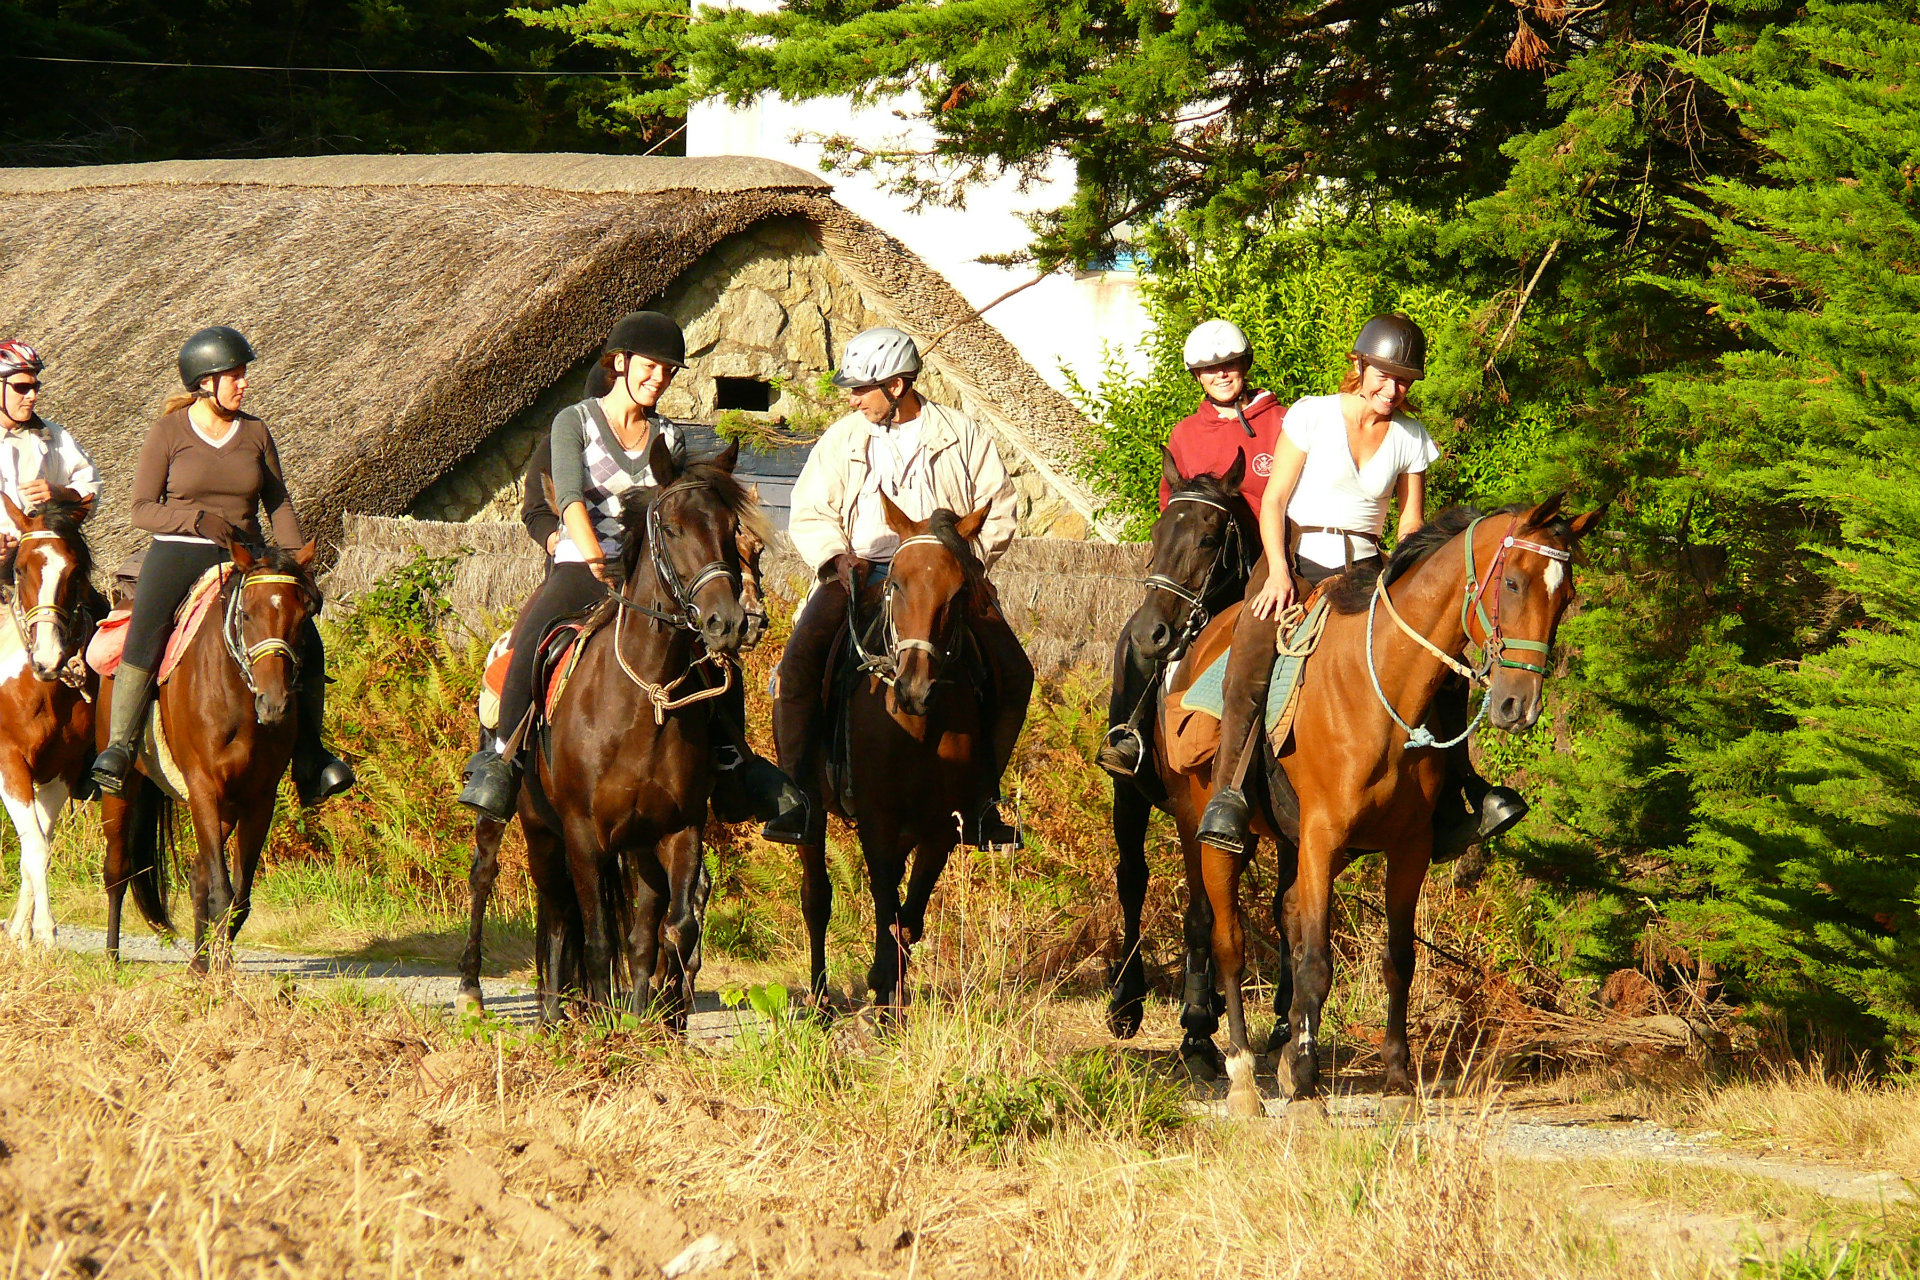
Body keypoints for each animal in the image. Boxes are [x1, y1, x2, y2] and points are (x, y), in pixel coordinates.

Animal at [105, 541, 322, 971]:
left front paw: (214, 965)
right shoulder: (203, 789)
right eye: (246, 613)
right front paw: (217, 975)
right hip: (122, 789)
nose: (275, 704)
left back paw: (198, 960)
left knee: (197, 875)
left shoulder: (258, 799)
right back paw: (112, 957)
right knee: (117, 871)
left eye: (303, 614)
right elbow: (223, 892)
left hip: (226, 807)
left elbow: (238, 897)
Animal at [794, 498, 1013, 1020]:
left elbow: (909, 914)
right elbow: (883, 901)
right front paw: (882, 992)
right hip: (813, 814)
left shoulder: (939, 829)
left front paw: (889, 988)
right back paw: (819, 998)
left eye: (959, 592)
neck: (917, 729)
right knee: (817, 898)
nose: (915, 689)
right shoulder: (878, 819)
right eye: (895, 582)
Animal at [1152, 495, 1605, 1113]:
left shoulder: (1407, 848)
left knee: (1286, 916)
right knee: (1229, 942)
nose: (1520, 705)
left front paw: (1395, 1074)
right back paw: (1243, 1074)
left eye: (1566, 595)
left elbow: (1398, 959)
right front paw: (1307, 1082)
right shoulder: (1322, 838)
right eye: (1512, 582)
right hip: (1209, 833)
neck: (1381, 690)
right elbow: (1315, 964)